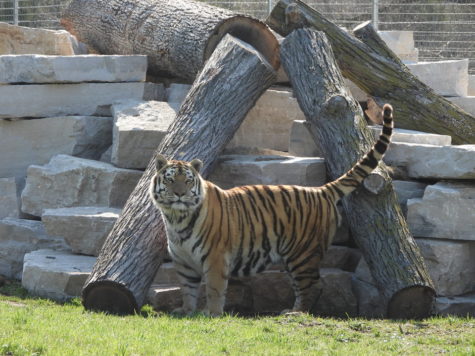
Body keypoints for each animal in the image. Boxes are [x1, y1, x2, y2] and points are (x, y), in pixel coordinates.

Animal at [152, 103, 394, 318]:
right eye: (171, 180)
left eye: (187, 181)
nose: (180, 194)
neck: (176, 219)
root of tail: (321, 190)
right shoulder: (184, 262)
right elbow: (187, 290)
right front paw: (186, 311)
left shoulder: (215, 257)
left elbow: (213, 289)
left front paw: (211, 313)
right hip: (292, 255)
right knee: (304, 285)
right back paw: (291, 310)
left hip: (303, 253)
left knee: (313, 285)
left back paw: (296, 313)